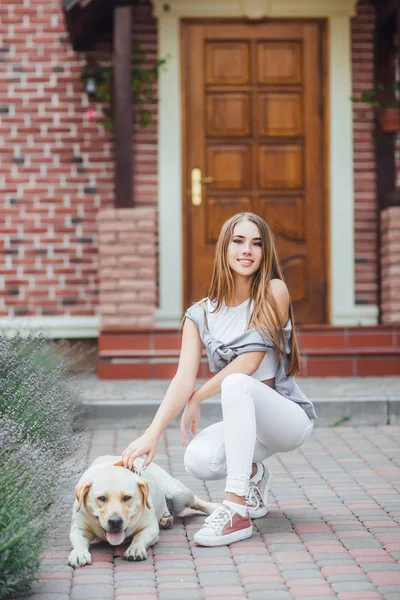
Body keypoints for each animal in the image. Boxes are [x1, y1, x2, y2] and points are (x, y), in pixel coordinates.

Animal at [68, 454, 216, 568]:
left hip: (179, 493)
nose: (115, 522)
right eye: (101, 498)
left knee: (196, 500)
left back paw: (214, 508)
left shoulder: (150, 527)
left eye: (127, 497)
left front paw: (135, 548)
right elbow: (78, 540)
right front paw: (79, 553)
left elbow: (139, 536)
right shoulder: (79, 527)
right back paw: (165, 519)